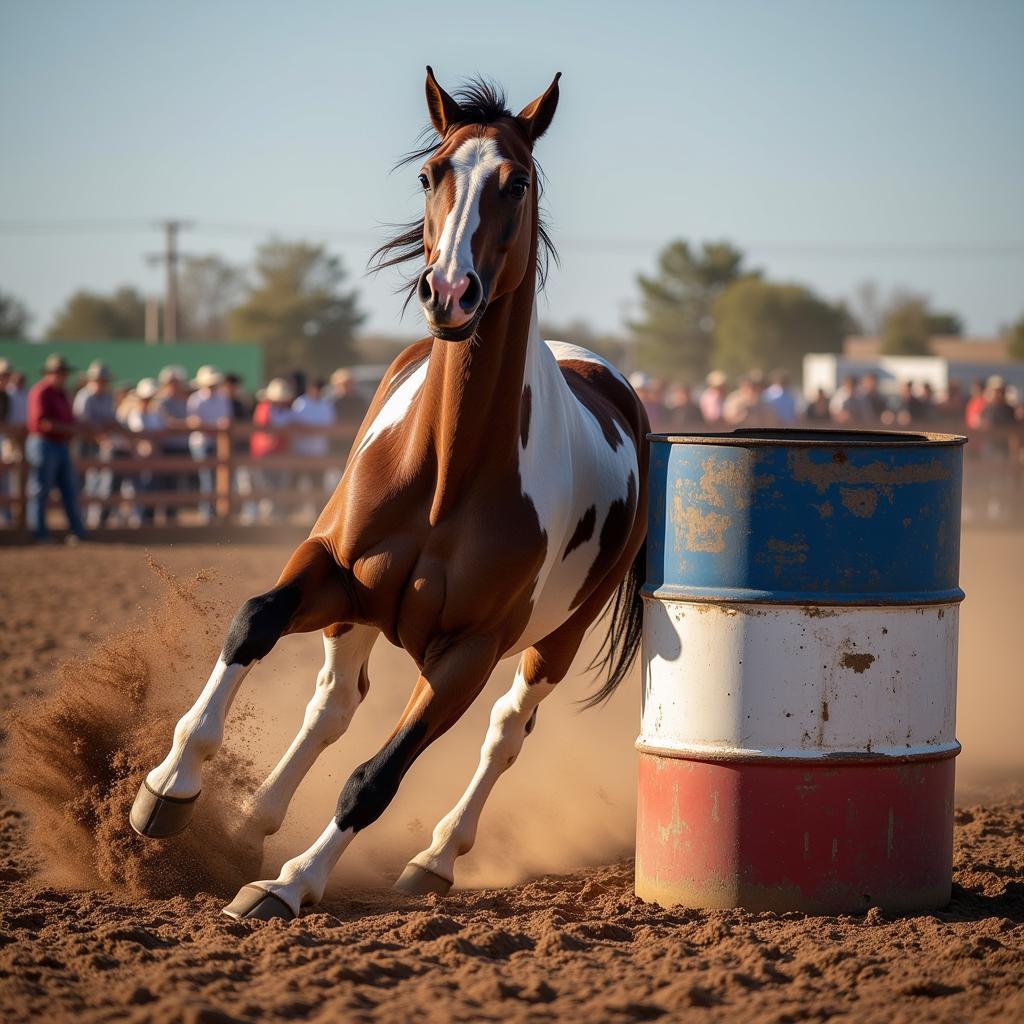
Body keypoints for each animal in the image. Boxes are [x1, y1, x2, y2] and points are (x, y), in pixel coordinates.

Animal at [130, 68, 647, 925]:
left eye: (517, 180)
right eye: (431, 174)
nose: (450, 291)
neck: (446, 475)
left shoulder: (467, 654)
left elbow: (375, 779)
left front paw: (287, 883)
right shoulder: (331, 569)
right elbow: (252, 624)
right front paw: (170, 787)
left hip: (557, 640)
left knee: (506, 732)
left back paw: (433, 859)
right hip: (359, 611)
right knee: (335, 703)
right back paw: (250, 820)